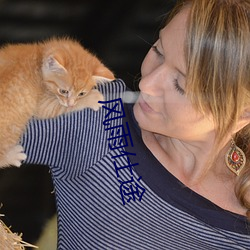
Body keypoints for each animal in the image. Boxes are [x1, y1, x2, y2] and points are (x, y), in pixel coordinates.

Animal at [0, 38, 114, 169]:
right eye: (63, 91)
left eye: (81, 94)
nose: (70, 103)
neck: (39, 59)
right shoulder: (42, 104)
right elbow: (58, 107)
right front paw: (94, 98)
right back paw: (14, 156)